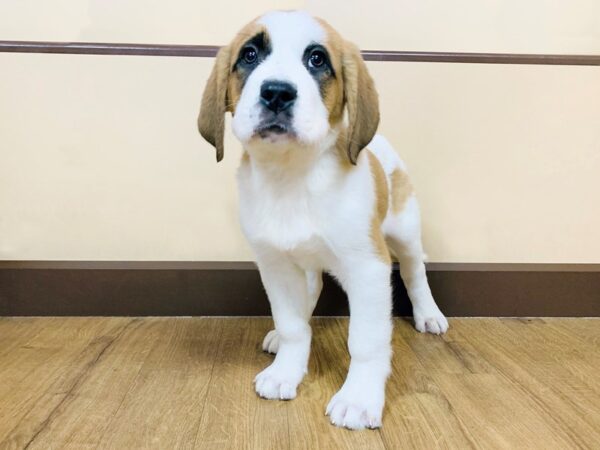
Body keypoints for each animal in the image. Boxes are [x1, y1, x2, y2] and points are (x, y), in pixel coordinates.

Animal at [199, 10, 448, 430]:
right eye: (249, 54)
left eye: (316, 60)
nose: (277, 93)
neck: (291, 176)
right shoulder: (276, 266)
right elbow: (292, 324)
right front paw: (286, 369)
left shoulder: (368, 268)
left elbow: (366, 341)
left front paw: (359, 398)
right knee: (311, 290)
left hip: (405, 232)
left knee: (415, 272)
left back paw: (429, 314)